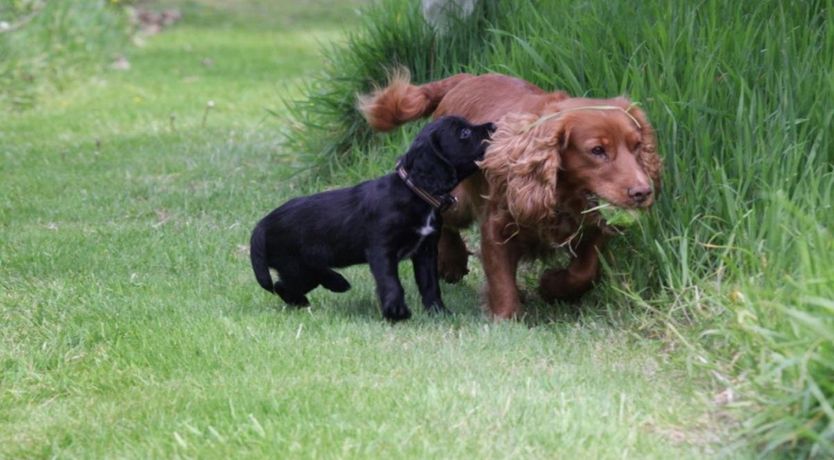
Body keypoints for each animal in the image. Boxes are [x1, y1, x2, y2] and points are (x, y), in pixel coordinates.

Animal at [247, 117, 494, 322]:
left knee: (285, 285)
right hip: (296, 264)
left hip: (298, 268)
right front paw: (396, 312)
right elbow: (391, 282)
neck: (413, 192)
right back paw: (334, 283)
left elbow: (430, 284)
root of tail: (263, 224)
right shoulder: (381, 249)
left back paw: (314, 294)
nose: (493, 126)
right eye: (464, 132)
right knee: (287, 283)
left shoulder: (425, 251)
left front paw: (438, 312)